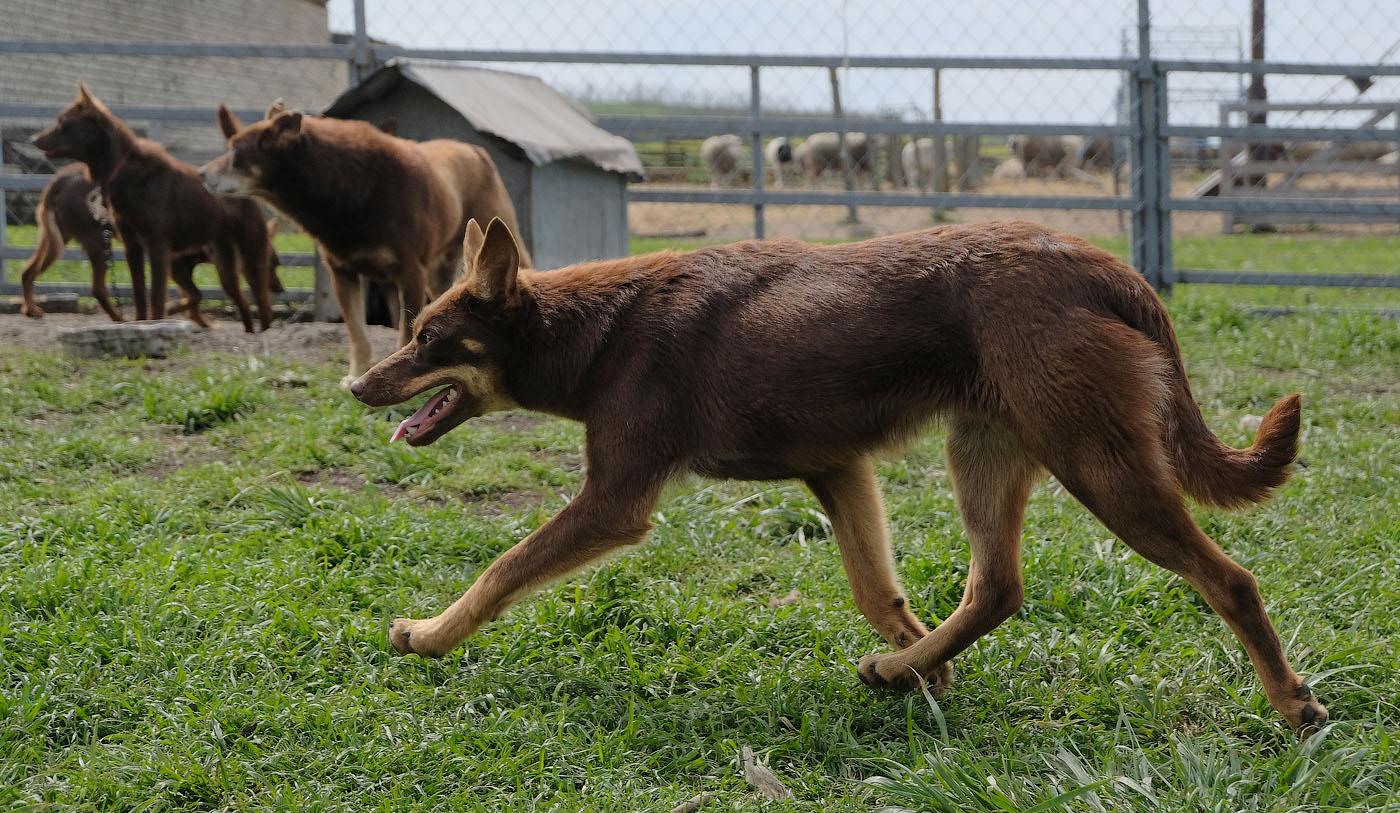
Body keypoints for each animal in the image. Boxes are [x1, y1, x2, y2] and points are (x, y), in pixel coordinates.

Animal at [32, 83, 278, 331]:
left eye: (63, 123)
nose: (33, 139)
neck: (121, 169)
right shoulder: (133, 247)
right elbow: (140, 293)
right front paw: (141, 323)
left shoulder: (158, 247)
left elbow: (157, 296)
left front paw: (157, 322)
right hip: (225, 264)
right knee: (244, 304)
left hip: (252, 255)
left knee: (263, 306)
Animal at [204, 103, 532, 383]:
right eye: (228, 147)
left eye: (236, 153)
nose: (202, 173)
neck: (347, 193)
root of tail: (474, 149)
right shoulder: (342, 272)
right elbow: (356, 331)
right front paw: (356, 373)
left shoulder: (410, 271)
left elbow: (405, 330)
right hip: (441, 270)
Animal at [347, 218, 1321, 733]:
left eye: (428, 338)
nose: (356, 385)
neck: (597, 330)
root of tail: (1109, 267)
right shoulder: (838, 470)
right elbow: (876, 591)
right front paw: (923, 668)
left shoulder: (614, 500)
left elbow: (501, 568)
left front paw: (427, 634)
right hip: (987, 453)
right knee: (997, 588)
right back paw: (898, 673)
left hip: (1100, 466)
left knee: (1230, 578)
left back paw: (1291, 701)